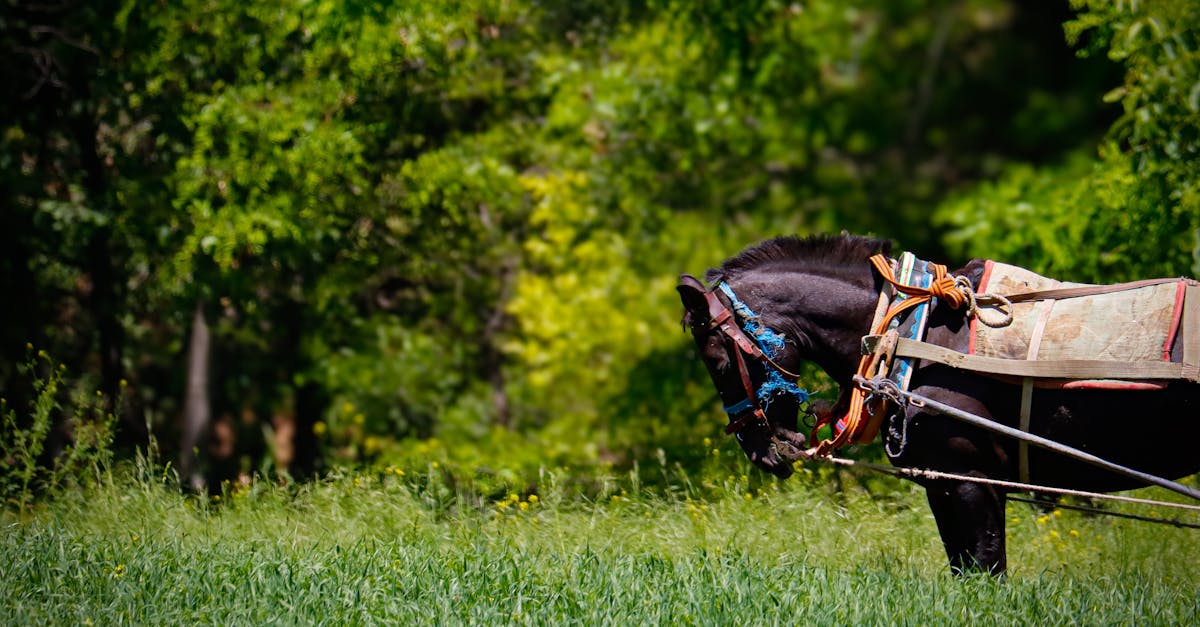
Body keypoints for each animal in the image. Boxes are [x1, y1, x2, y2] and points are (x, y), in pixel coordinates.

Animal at [677, 233, 1200, 575]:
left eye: (718, 363)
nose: (759, 450)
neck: (909, 333)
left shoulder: (971, 478)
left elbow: (986, 569)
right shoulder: (941, 482)